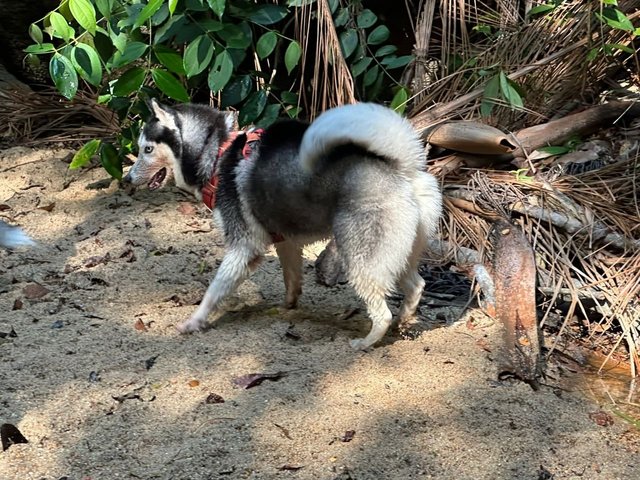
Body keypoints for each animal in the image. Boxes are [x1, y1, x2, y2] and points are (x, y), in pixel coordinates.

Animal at [125, 99, 444, 348]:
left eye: (147, 149)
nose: (126, 179)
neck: (217, 151)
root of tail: (401, 167)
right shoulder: (286, 242)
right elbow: (291, 278)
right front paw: (287, 307)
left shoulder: (243, 248)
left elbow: (214, 291)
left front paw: (195, 321)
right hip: (398, 254)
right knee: (416, 285)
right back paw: (403, 321)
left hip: (360, 259)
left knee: (381, 312)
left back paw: (366, 342)